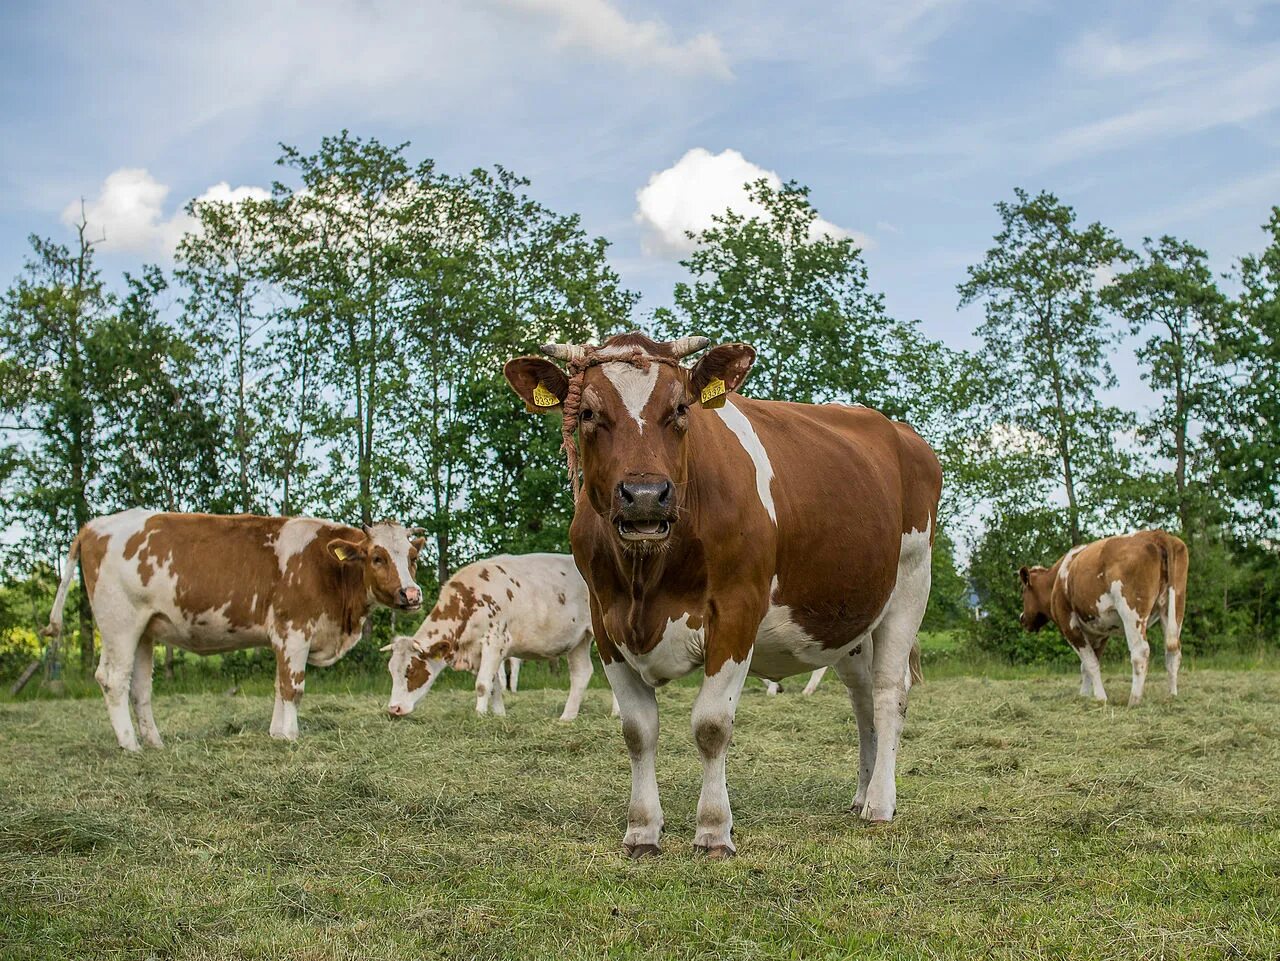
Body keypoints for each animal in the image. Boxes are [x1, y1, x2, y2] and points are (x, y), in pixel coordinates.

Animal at [43, 511, 424, 752]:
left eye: (412, 557)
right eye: (377, 557)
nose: (412, 594)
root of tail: (94, 525)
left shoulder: (281, 638)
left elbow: (278, 685)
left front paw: (275, 734)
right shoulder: (294, 630)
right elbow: (293, 687)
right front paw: (290, 736)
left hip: (144, 631)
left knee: (140, 689)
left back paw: (153, 742)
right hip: (119, 624)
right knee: (113, 680)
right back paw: (129, 745)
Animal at [506, 330, 942, 854]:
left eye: (681, 409)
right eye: (588, 412)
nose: (646, 496)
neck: (647, 578)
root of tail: (898, 430)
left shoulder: (736, 611)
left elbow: (711, 725)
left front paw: (713, 830)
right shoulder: (605, 621)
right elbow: (637, 731)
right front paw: (642, 830)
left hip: (911, 584)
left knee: (887, 694)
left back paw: (879, 803)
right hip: (849, 618)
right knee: (861, 702)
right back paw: (861, 794)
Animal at [1018, 527, 1187, 706]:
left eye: (1023, 591)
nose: (1022, 618)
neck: (1057, 580)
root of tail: (1157, 534)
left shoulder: (1069, 625)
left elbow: (1091, 663)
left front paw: (1100, 698)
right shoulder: (1100, 632)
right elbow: (1086, 665)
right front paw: (1084, 696)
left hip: (1131, 612)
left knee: (1140, 652)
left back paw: (1134, 700)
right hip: (1174, 607)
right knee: (1173, 652)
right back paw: (1172, 696)